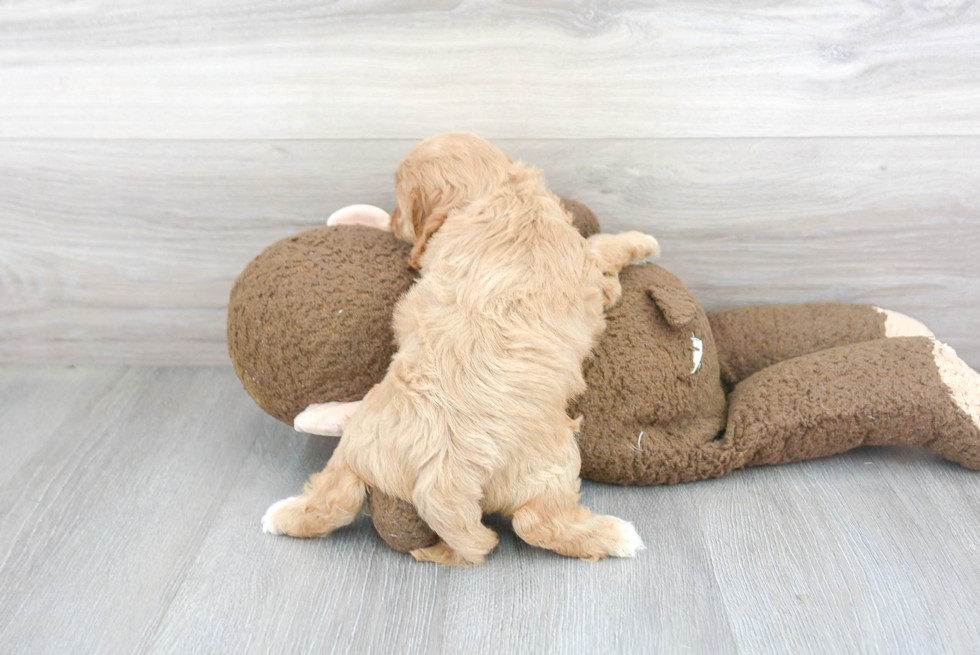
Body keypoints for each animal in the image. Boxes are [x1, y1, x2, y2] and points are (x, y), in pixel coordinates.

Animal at [262, 136, 660, 568]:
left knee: (330, 501)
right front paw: (644, 241)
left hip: (355, 450)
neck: (496, 191)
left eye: (400, 203)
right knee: (538, 525)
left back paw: (280, 514)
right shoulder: (587, 262)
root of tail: (440, 481)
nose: (393, 222)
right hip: (550, 463)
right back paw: (616, 536)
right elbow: (607, 246)